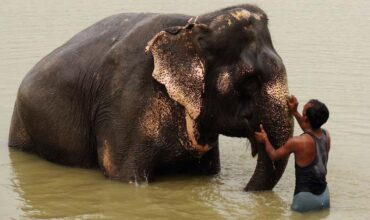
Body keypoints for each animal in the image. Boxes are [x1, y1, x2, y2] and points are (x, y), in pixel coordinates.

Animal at [7, 3, 294, 191]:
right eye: (250, 81)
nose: (243, 191)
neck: (197, 22)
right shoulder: (126, 104)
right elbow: (125, 175)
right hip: (22, 127)